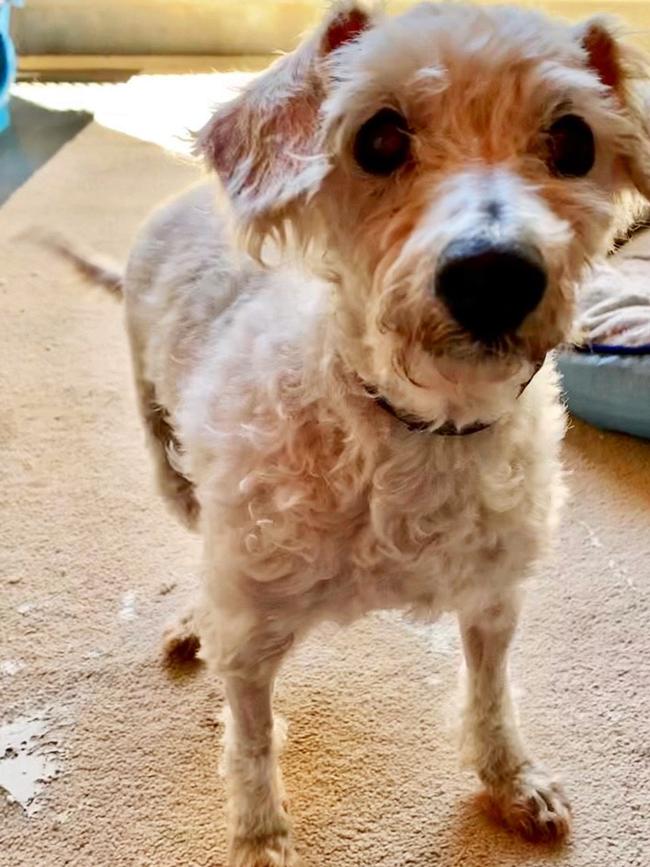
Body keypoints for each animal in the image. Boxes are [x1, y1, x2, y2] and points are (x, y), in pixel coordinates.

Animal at [55, 3, 648, 864]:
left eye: (574, 140)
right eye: (379, 138)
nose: (495, 276)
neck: (413, 426)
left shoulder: (494, 599)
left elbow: (492, 695)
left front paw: (511, 779)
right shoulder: (253, 636)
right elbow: (251, 743)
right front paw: (259, 839)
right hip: (170, 459)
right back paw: (196, 617)